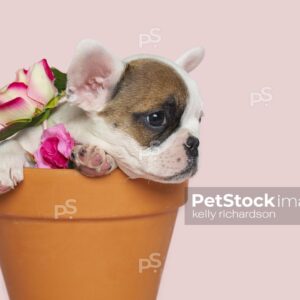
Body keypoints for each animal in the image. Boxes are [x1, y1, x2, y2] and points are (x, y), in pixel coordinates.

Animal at [0, 39, 204, 195]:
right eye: (156, 118)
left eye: (200, 119)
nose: (195, 143)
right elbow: (12, 143)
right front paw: (6, 162)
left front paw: (95, 158)